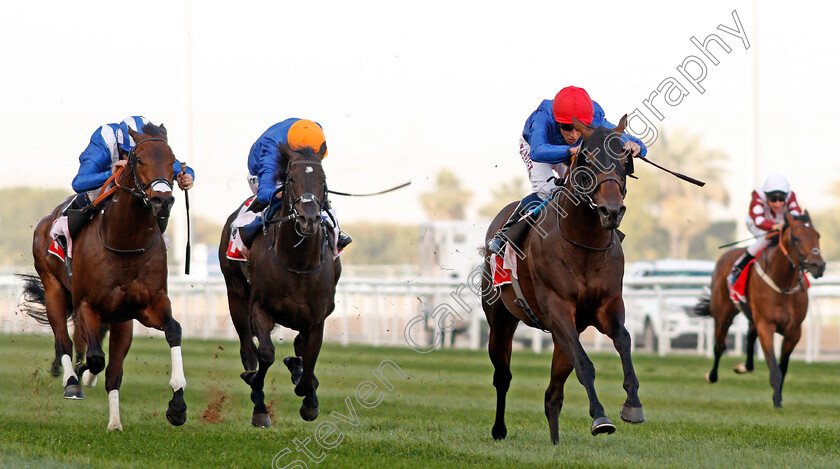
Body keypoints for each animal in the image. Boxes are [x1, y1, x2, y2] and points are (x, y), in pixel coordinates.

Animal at [20, 122, 188, 430]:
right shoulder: (87, 304)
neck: (125, 243)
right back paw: (72, 381)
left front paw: (177, 405)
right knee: (64, 340)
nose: (162, 200)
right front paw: (82, 375)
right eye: (138, 160)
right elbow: (96, 357)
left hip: (122, 318)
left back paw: (113, 421)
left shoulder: (147, 306)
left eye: (174, 162)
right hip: (53, 288)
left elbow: (173, 331)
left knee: (109, 365)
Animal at [220, 141, 344, 426]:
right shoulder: (260, 308)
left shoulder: (317, 318)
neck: (298, 263)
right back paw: (257, 398)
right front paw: (258, 398)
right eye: (291, 179)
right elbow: (265, 354)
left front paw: (309, 398)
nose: (309, 218)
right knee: (248, 350)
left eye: (322, 180)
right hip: (235, 295)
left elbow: (309, 360)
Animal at [480, 116, 644, 442]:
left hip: (562, 333)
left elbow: (624, 340)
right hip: (500, 318)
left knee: (552, 393)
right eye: (587, 158)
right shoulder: (557, 308)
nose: (612, 210)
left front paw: (633, 403)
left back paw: (555, 440)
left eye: (624, 159)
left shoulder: (606, 307)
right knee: (503, 376)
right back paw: (499, 430)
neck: (583, 245)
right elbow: (585, 364)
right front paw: (600, 417)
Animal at [692, 211, 824, 406]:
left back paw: (743, 367)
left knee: (749, 337)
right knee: (719, 346)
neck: (783, 283)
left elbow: (783, 367)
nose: (818, 266)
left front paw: (778, 395)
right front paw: (777, 401)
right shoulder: (766, 326)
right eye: (796, 238)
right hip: (723, 314)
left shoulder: (794, 331)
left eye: (817, 236)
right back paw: (712, 375)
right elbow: (774, 367)